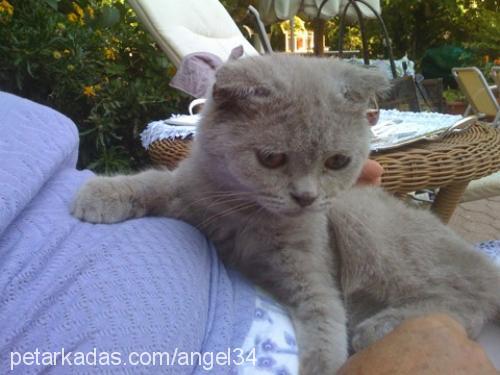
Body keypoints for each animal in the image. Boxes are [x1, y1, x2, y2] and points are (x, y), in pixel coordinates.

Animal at [71, 54, 500, 374]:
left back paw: (380, 326)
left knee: (470, 302)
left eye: (337, 161)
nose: (306, 197)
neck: (247, 215)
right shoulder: (192, 192)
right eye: (272, 159)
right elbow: (154, 182)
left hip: (366, 222)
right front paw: (100, 194)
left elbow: (324, 316)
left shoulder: (313, 268)